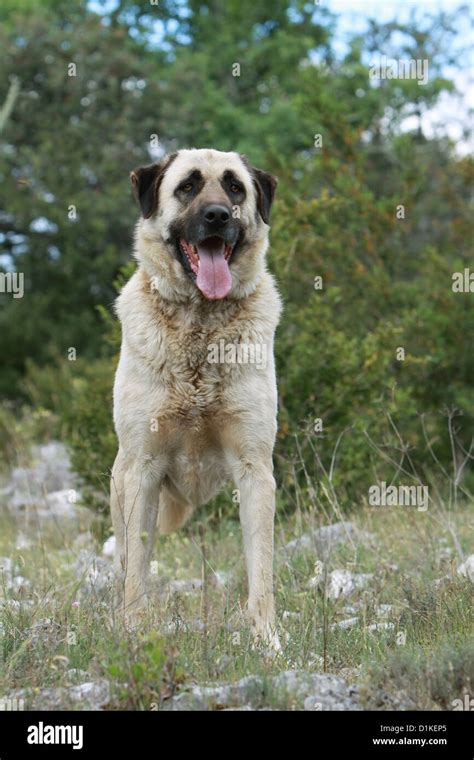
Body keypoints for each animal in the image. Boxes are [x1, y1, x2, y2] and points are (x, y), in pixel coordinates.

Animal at [111, 147, 282, 648]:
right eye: (187, 186)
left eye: (235, 188)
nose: (218, 216)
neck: (200, 326)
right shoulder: (142, 470)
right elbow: (136, 573)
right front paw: (134, 632)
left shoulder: (254, 469)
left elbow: (261, 570)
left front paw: (267, 640)